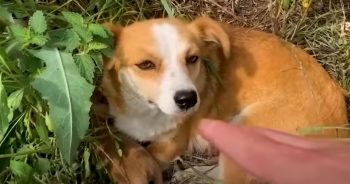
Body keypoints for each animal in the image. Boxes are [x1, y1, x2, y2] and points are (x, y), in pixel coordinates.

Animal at [98, 16, 348, 183]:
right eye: (146, 65)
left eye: (193, 58)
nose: (188, 100)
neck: (145, 110)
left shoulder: (171, 144)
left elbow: (150, 155)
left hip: (247, 130)